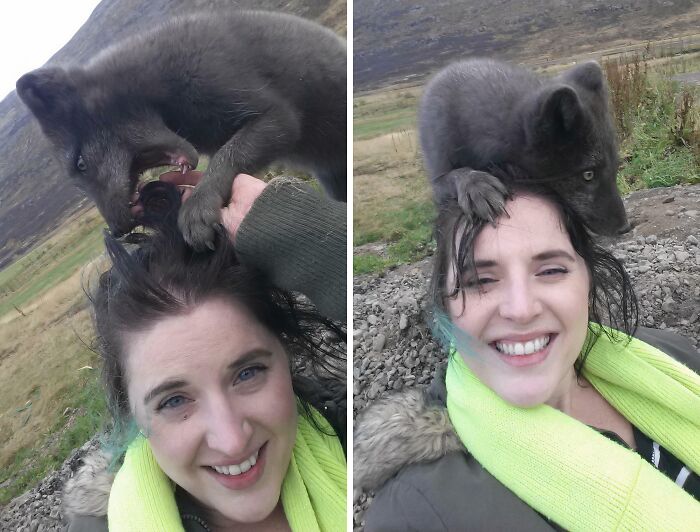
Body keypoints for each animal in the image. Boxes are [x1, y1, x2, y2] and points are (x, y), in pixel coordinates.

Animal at [418, 58, 632, 235]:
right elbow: (459, 173)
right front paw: (477, 186)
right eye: (588, 174)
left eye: (615, 167)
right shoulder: (438, 180)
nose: (625, 228)